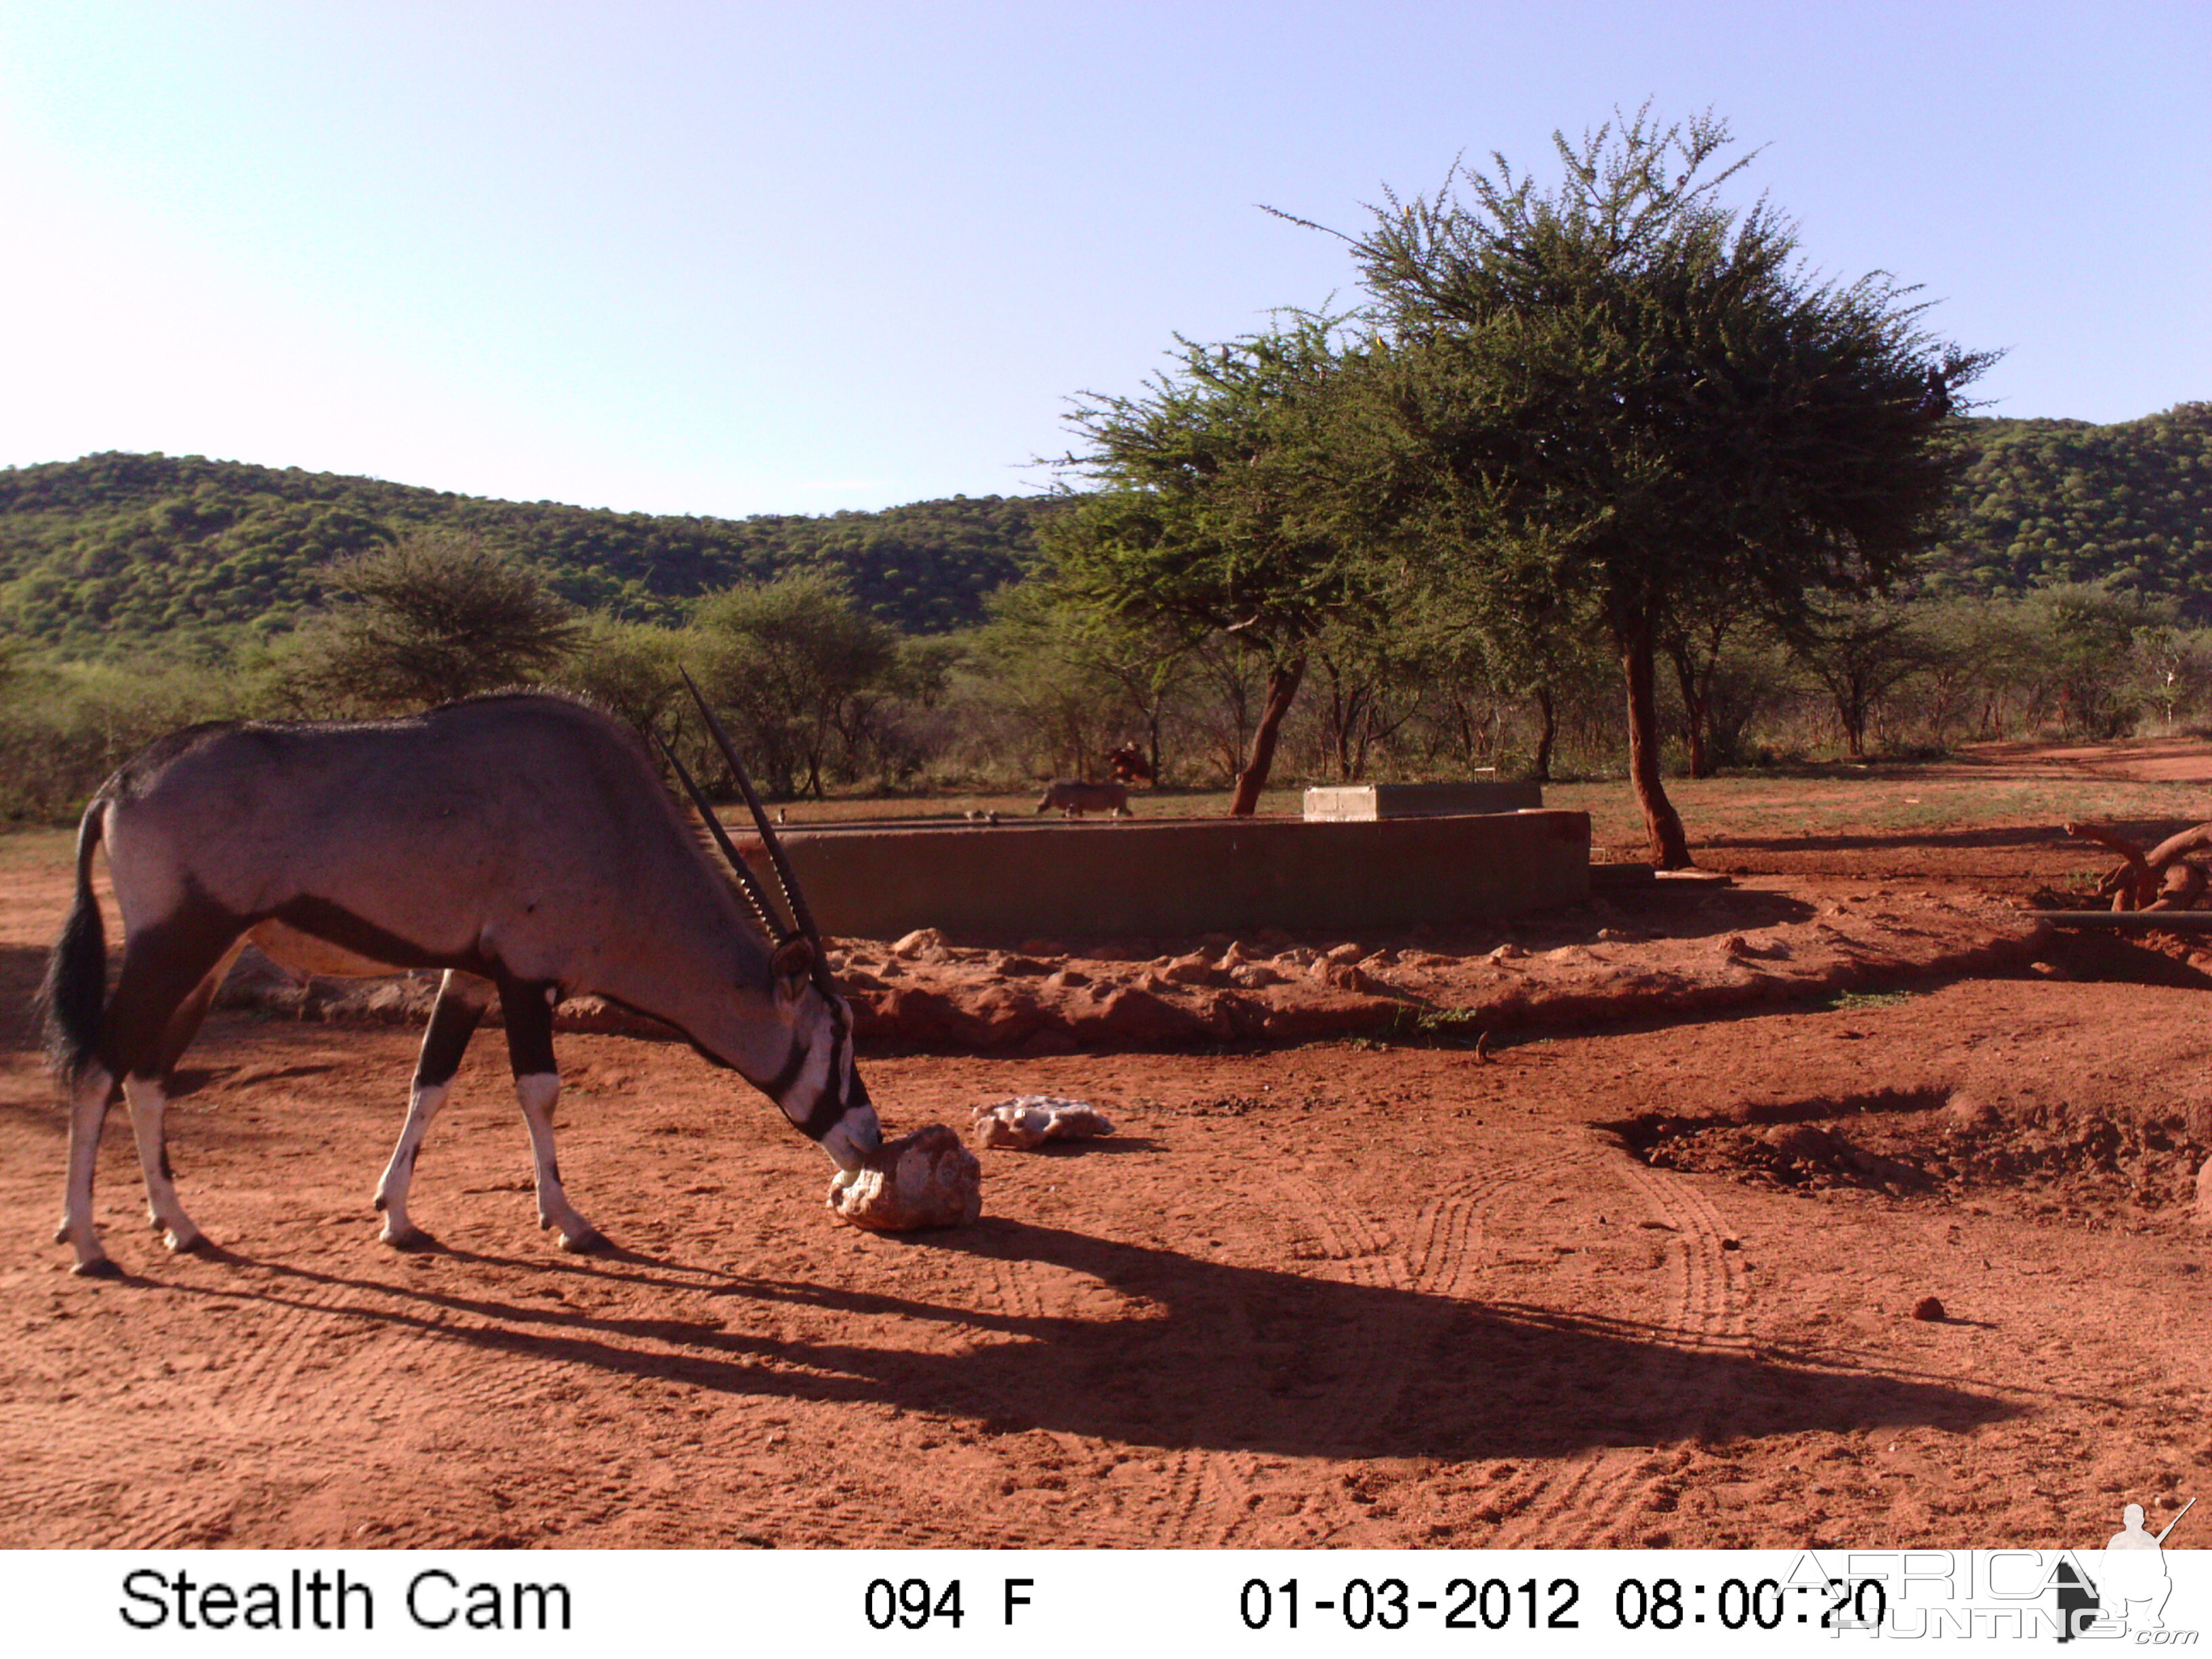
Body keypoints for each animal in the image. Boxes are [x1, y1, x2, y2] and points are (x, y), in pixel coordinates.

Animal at [37, 681, 880, 1283]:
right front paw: (569, 1223)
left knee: (148, 1075)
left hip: (206, 960)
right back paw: (86, 1243)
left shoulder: (471, 977)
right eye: (836, 1032)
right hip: (174, 946)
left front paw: (396, 1217)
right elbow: (539, 1092)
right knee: (98, 1066)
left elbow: (430, 1084)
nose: (870, 1138)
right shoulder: (525, 976)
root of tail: (118, 785)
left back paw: (180, 1227)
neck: (616, 827)